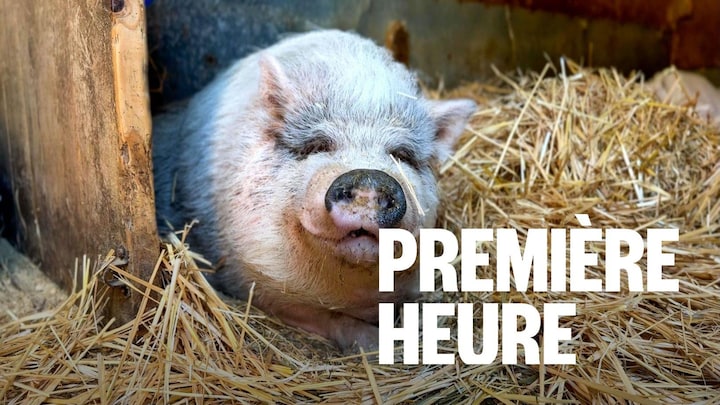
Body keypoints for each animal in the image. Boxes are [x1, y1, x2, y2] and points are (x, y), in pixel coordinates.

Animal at [152, 30, 476, 351]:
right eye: (318, 145)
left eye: (401, 155)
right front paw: (374, 344)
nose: (369, 179)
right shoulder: (248, 278)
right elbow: (323, 317)